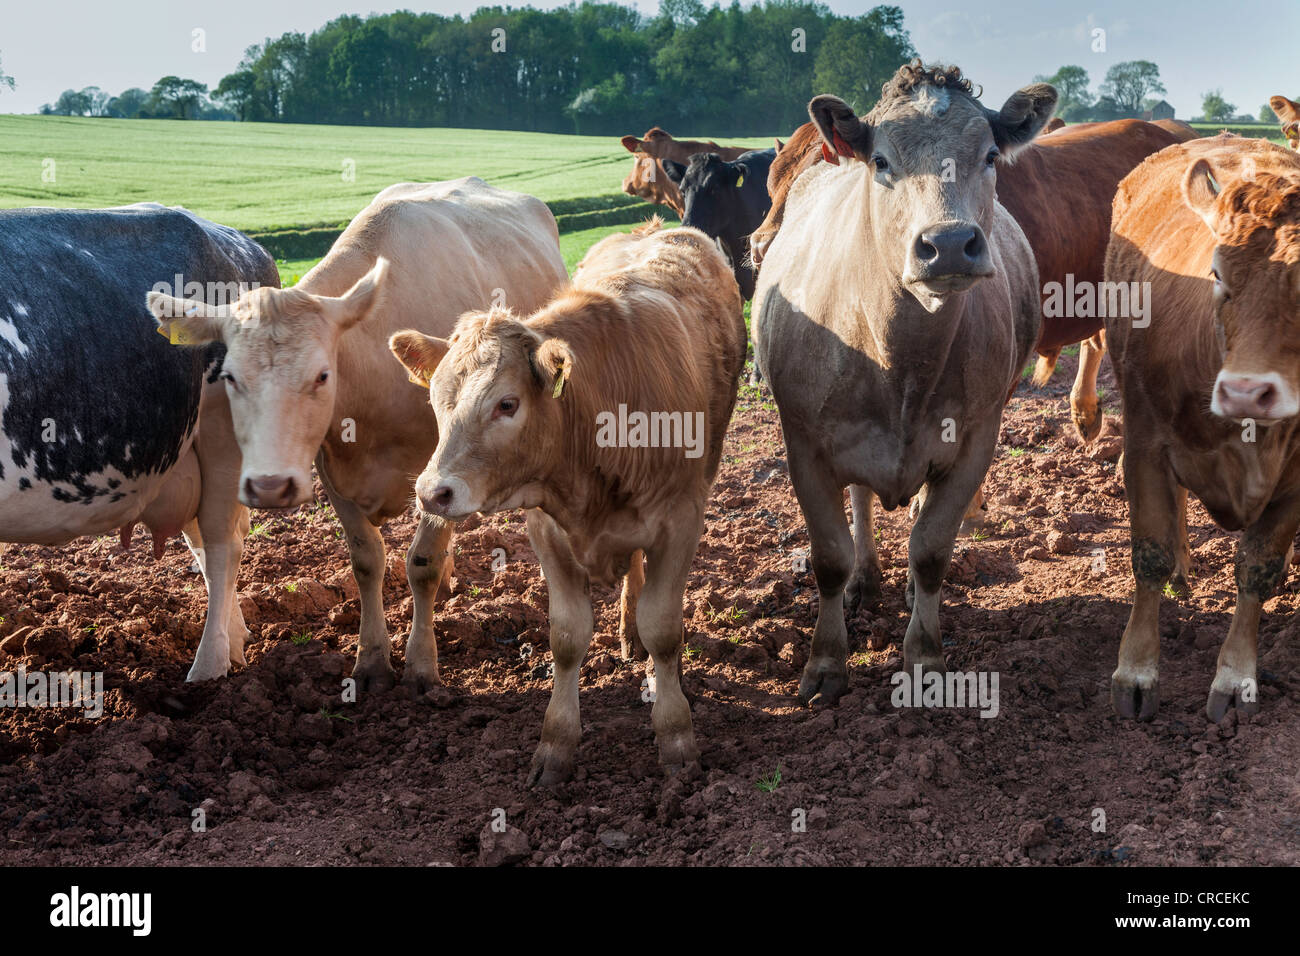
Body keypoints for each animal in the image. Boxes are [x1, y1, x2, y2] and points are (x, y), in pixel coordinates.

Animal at [0, 201, 279, 681]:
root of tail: (241, 241)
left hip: (223, 435)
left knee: (222, 546)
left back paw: (209, 668)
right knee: (207, 544)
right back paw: (235, 643)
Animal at [1102, 132, 1300, 717]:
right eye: (1216, 274)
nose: (1245, 392)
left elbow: (1258, 568)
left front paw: (1235, 678)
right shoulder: (1145, 446)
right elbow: (1150, 552)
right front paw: (1136, 671)